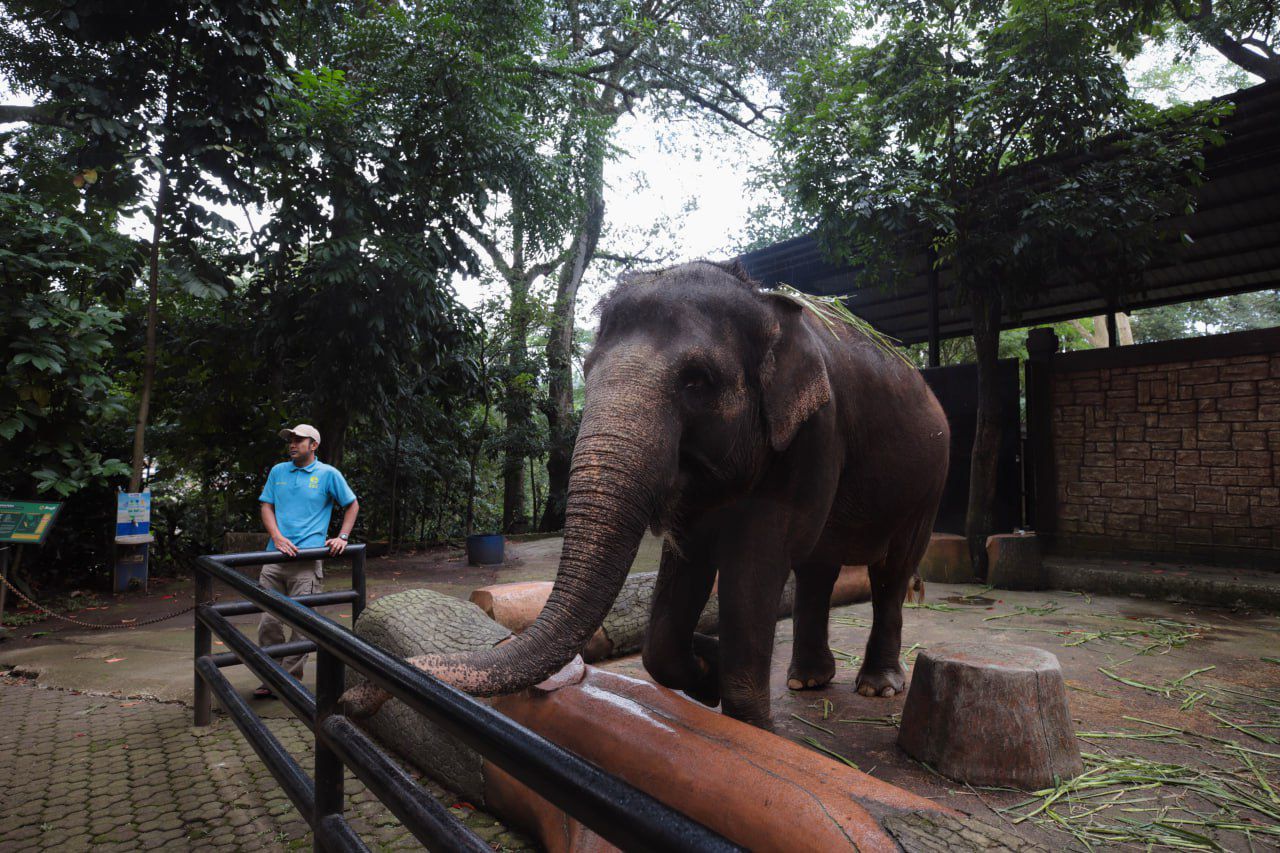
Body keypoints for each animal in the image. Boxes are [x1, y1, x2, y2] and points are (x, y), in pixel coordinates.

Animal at [344, 260, 949, 729]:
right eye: (586, 369)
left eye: (697, 381)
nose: (350, 698)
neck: (764, 302)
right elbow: (680, 578)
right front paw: (706, 671)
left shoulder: (814, 435)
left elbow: (757, 563)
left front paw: (751, 723)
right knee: (819, 569)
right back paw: (806, 680)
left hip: (929, 484)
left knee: (891, 572)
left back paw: (876, 686)